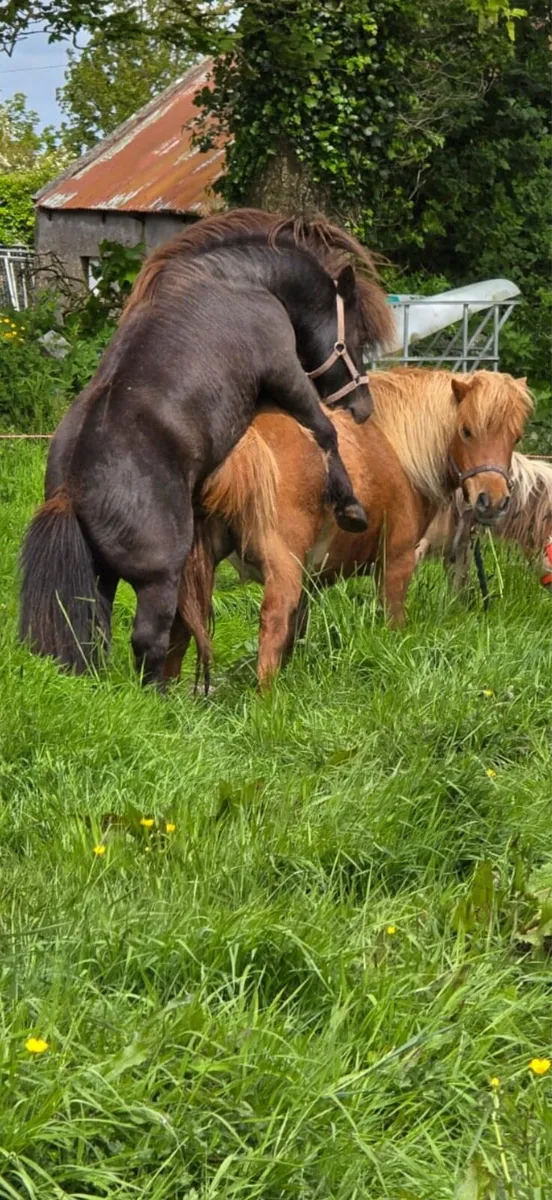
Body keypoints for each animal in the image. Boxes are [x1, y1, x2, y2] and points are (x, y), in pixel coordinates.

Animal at [19, 209, 394, 685]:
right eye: (359, 335)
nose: (363, 407)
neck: (242, 279)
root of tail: (71, 492)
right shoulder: (284, 372)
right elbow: (323, 431)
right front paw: (349, 505)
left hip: (102, 579)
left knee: (99, 635)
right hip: (160, 578)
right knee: (150, 641)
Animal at [169, 368, 532, 688]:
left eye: (515, 437)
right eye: (467, 431)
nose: (493, 501)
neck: (399, 449)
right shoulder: (397, 562)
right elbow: (392, 619)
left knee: (181, 623)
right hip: (282, 568)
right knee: (271, 620)